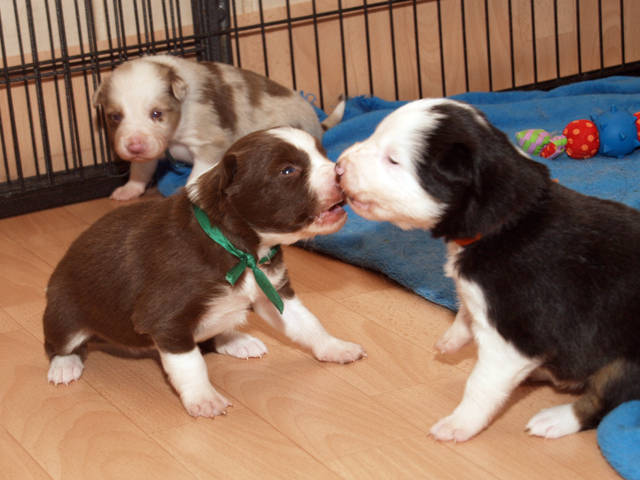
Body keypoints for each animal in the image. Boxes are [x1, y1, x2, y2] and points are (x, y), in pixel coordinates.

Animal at [44, 127, 365, 418]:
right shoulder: (166, 318)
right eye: (288, 170)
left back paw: (238, 341)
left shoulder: (272, 290)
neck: (243, 248)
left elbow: (308, 323)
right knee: (60, 342)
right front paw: (204, 400)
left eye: (322, 153)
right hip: (64, 310)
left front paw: (336, 348)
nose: (340, 171)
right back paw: (64, 366)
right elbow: (191, 364)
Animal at [93, 55, 344, 201]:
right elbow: (141, 167)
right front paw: (128, 189)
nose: (134, 146)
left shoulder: (208, 143)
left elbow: (197, 174)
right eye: (115, 116)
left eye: (157, 114)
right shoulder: (148, 148)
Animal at [336, 98, 640, 441]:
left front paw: (458, 424)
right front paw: (451, 339)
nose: (339, 166)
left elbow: (481, 384)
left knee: (602, 401)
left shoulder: (512, 334)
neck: (507, 220)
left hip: (623, 361)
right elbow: (465, 312)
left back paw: (553, 419)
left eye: (393, 160)